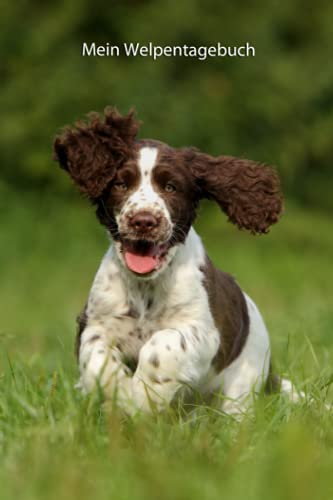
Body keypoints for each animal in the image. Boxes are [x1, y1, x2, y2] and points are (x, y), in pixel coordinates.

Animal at [53, 107, 282, 416]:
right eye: (120, 184)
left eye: (171, 187)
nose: (144, 221)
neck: (145, 287)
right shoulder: (95, 322)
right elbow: (97, 358)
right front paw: (118, 397)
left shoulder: (203, 331)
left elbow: (162, 345)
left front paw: (143, 399)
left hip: (244, 382)